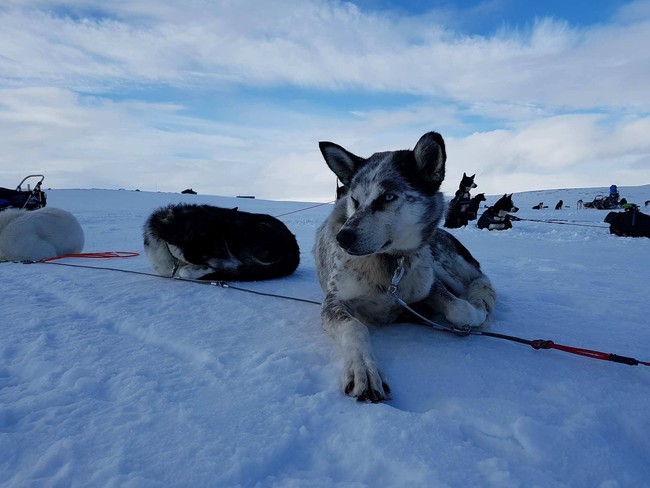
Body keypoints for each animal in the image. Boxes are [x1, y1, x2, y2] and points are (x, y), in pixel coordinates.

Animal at [312, 132, 492, 402]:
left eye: (387, 197)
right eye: (354, 200)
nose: (342, 237)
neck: (391, 264)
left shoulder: (429, 285)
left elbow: (460, 309)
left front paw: (477, 310)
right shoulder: (334, 302)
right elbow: (355, 326)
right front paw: (364, 369)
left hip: (440, 262)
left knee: (478, 279)